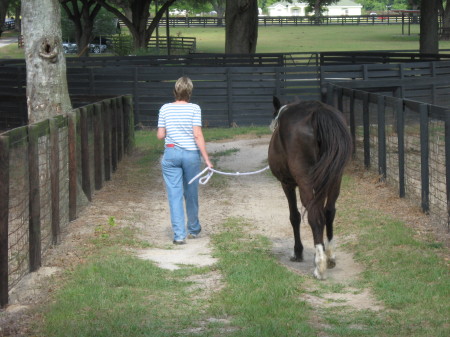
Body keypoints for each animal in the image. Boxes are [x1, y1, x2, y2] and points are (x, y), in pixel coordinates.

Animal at [268, 96, 354, 278]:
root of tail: (318, 112)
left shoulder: (287, 184)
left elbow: (294, 216)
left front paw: (298, 252)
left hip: (305, 182)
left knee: (314, 215)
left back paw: (319, 267)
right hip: (334, 177)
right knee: (328, 212)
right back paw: (329, 256)